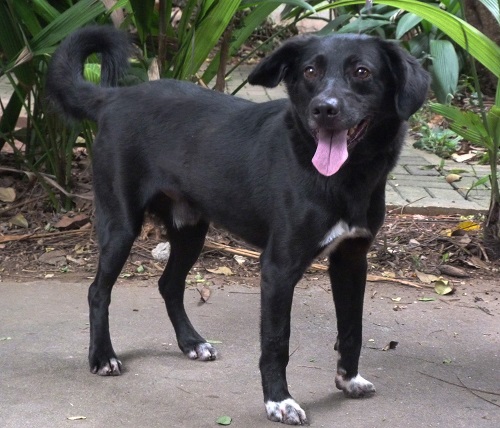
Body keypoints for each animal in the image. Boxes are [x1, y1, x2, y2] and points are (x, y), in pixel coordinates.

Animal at [47, 25, 428, 424]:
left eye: (362, 72)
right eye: (310, 71)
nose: (324, 109)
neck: (346, 178)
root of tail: (113, 97)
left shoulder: (352, 260)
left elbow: (353, 327)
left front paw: (349, 379)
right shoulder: (278, 268)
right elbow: (277, 341)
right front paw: (279, 401)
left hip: (191, 230)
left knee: (169, 285)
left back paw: (191, 342)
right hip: (121, 224)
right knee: (98, 291)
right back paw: (102, 356)